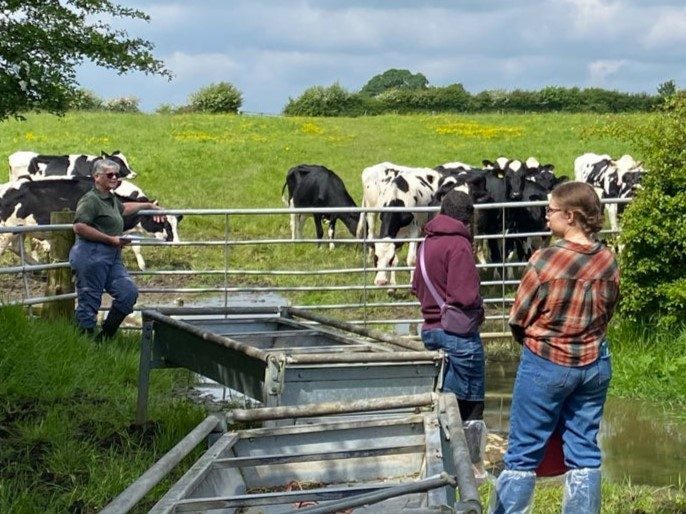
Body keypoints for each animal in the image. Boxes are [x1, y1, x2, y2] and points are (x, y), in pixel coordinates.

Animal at [0, 175, 180, 268]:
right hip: (7, 232)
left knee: (16, 247)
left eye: (176, 224)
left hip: (20, 231)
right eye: (164, 223)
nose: (177, 242)